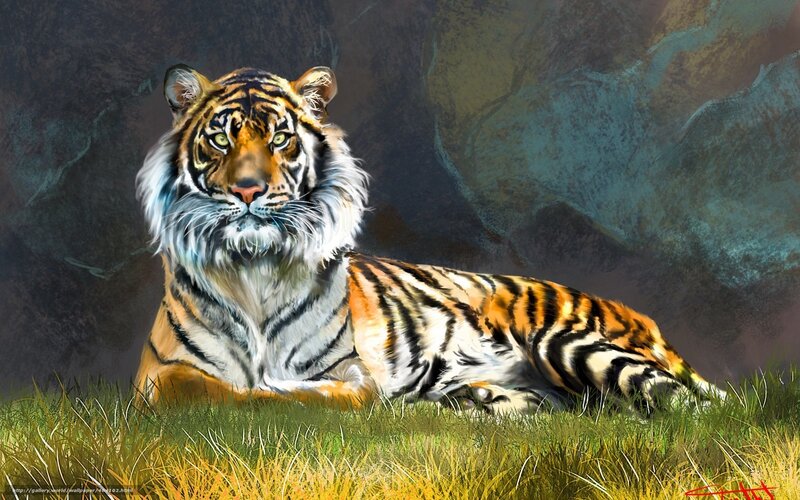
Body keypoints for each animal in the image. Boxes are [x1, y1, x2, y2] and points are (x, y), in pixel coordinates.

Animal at [134, 64, 725, 415]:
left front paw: (279, 391)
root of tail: (645, 317)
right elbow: (205, 390)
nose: (249, 189)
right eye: (221, 138)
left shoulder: (346, 373)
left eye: (280, 138)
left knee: (688, 408)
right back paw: (478, 399)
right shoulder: (157, 376)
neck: (253, 266)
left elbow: (299, 397)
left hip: (567, 342)